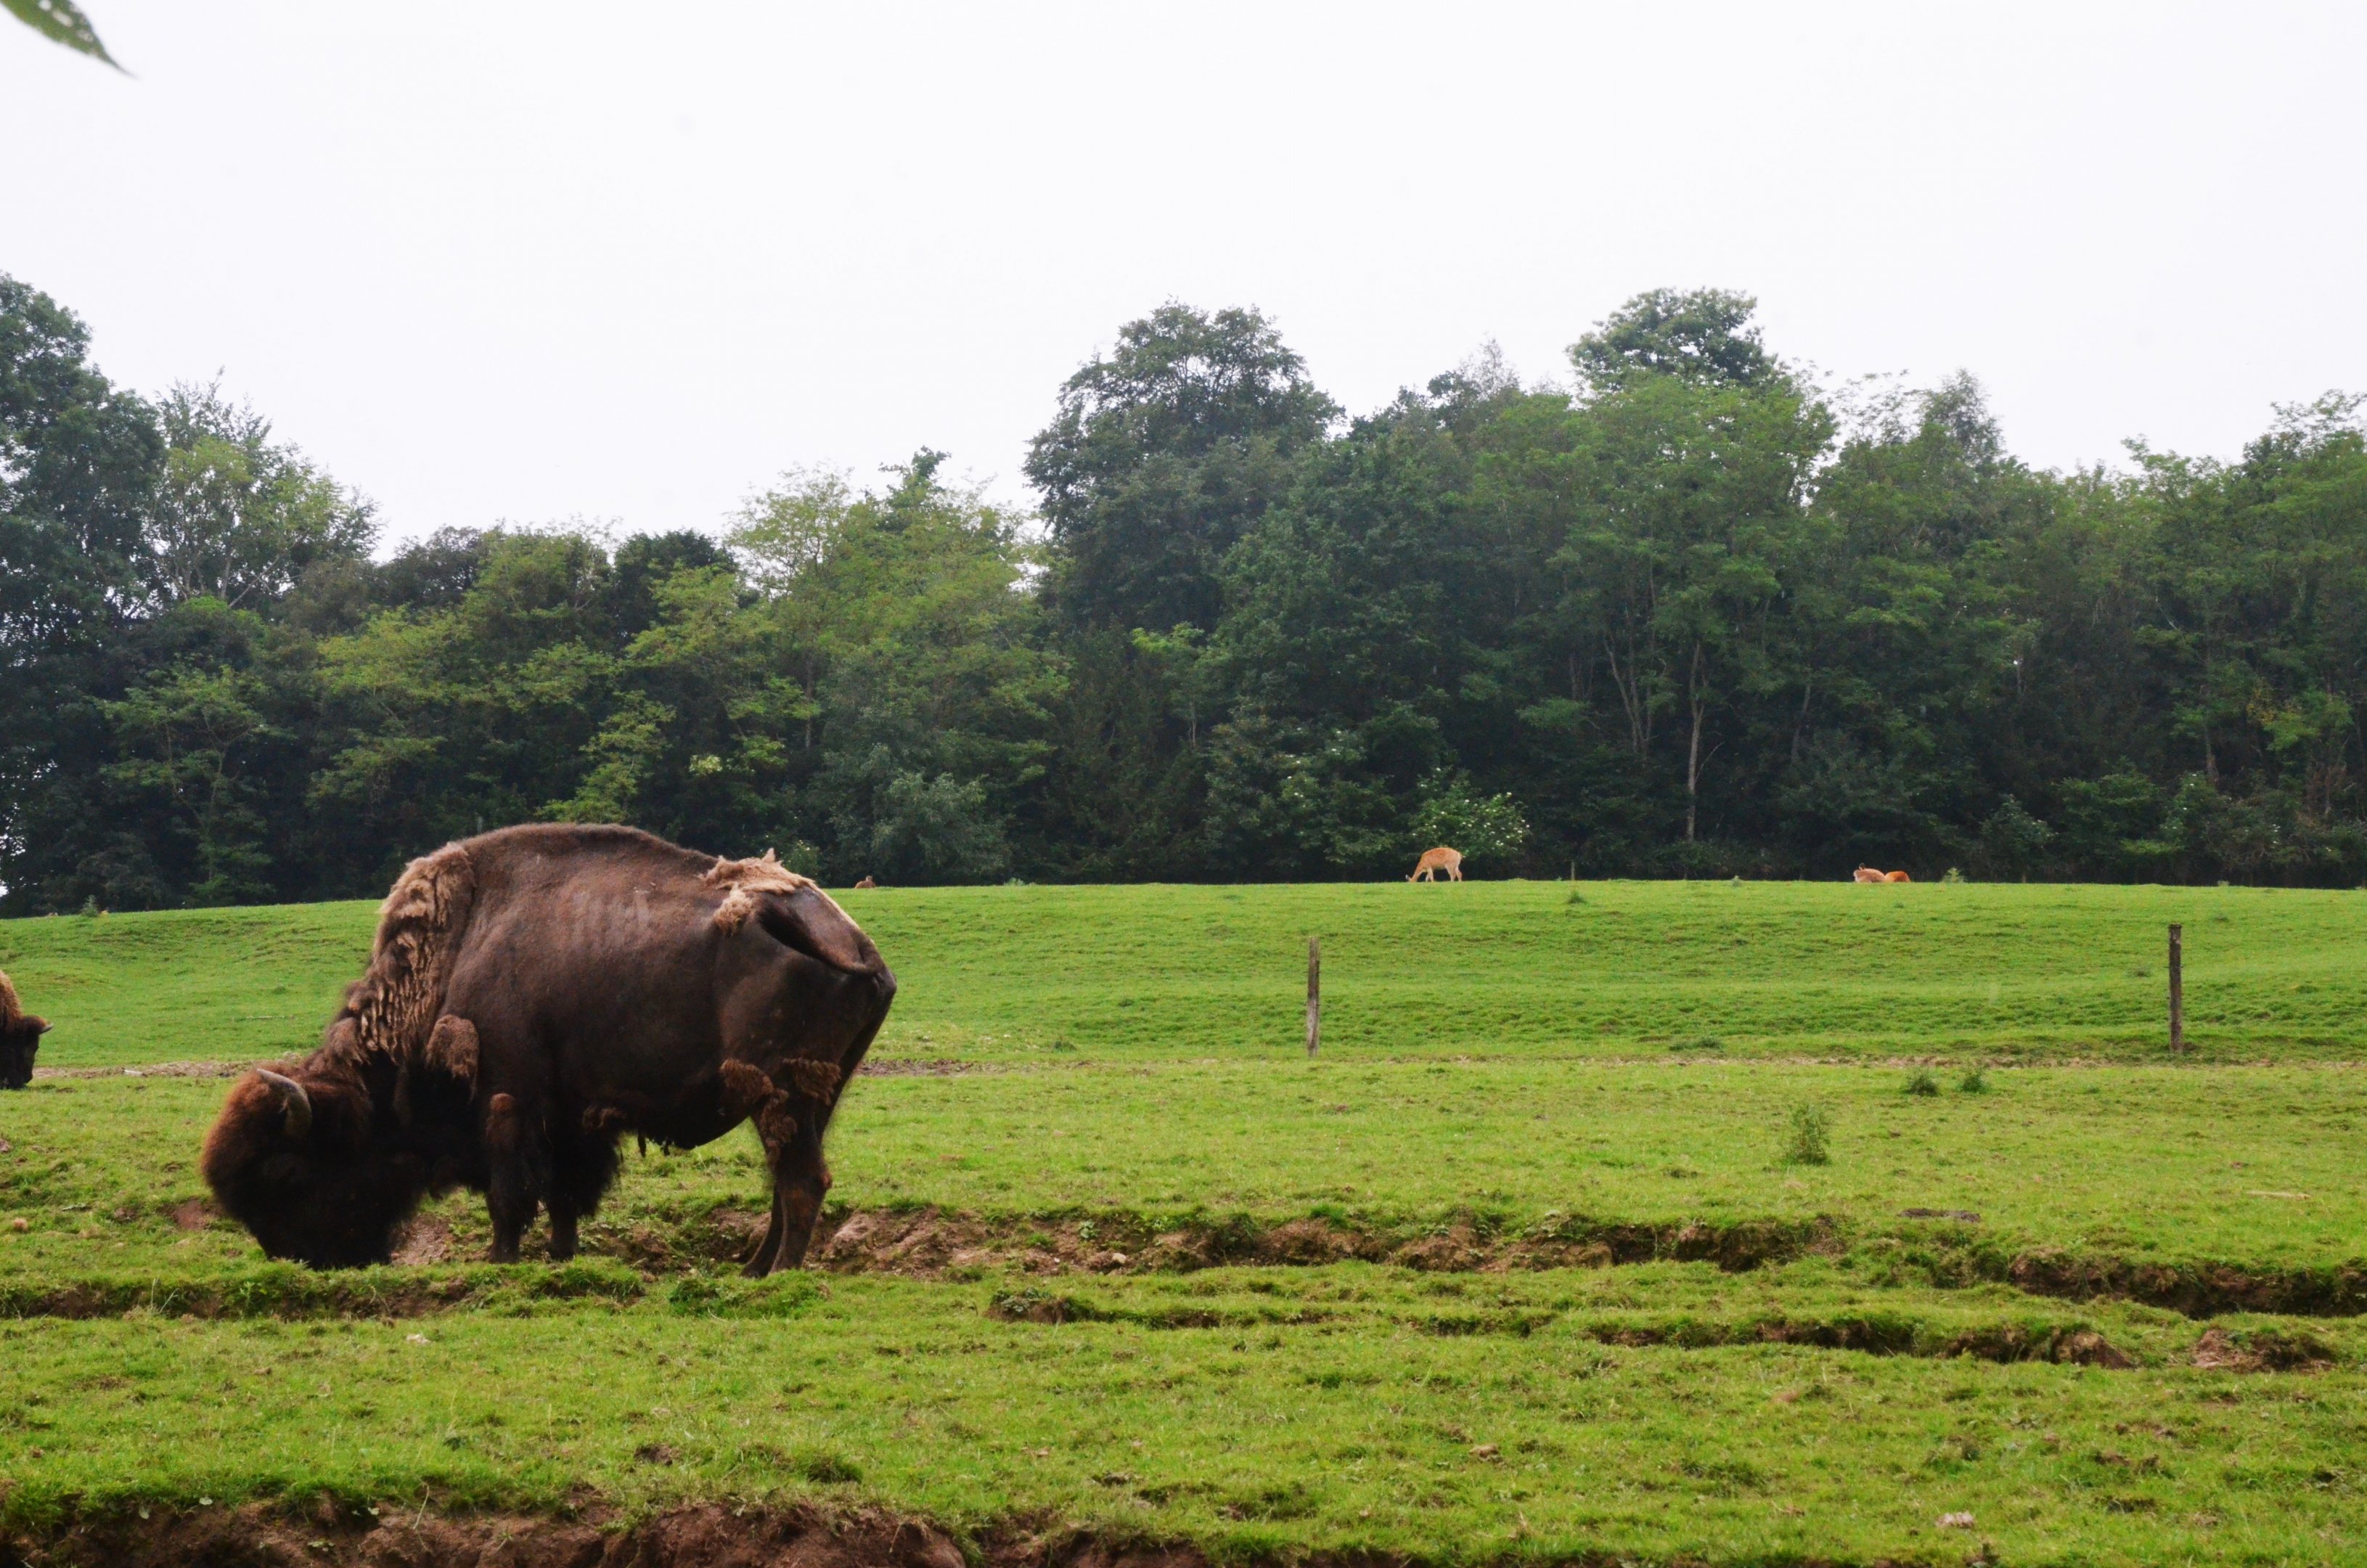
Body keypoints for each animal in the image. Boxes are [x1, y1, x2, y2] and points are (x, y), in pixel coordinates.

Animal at [202, 824, 895, 1273]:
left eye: (287, 1171)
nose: (298, 1259)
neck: (456, 952)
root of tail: (854, 943)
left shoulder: (508, 1097)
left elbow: (509, 1192)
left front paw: (500, 1260)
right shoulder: (568, 1115)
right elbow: (564, 1193)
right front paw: (561, 1257)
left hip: (781, 1093)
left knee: (802, 1180)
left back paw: (778, 1274)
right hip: (810, 1097)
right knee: (786, 1179)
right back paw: (753, 1268)